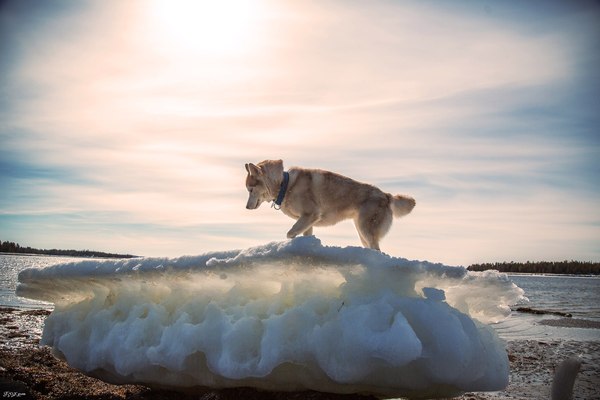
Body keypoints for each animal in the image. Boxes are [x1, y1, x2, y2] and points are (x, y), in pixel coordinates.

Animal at [243, 159, 412, 250]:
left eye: (250, 189)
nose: (246, 207)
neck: (286, 185)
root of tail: (386, 195)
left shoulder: (311, 214)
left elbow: (290, 233)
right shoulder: (307, 221)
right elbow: (303, 234)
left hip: (366, 230)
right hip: (361, 231)